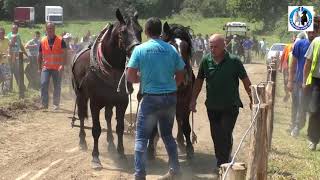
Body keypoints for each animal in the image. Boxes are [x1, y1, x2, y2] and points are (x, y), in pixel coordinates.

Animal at [72, 8, 142, 169]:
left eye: (140, 30)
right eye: (123, 32)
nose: (137, 51)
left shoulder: (122, 102)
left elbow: (119, 127)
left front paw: (121, 153)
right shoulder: (95, 102)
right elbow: (96, 129)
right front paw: (95, 157)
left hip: (109, 100)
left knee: (108, 117)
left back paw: (110, 143)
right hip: (81, 96)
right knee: (81, 115)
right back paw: (82, 141)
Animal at [145, 22, 195, 160]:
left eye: (186, 47)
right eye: (170, 45)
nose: (183, 76)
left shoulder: (185, 103)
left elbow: (186, 125)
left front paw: (189, 148)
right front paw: (150, 150)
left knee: (179, 120)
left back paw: (180, 142)